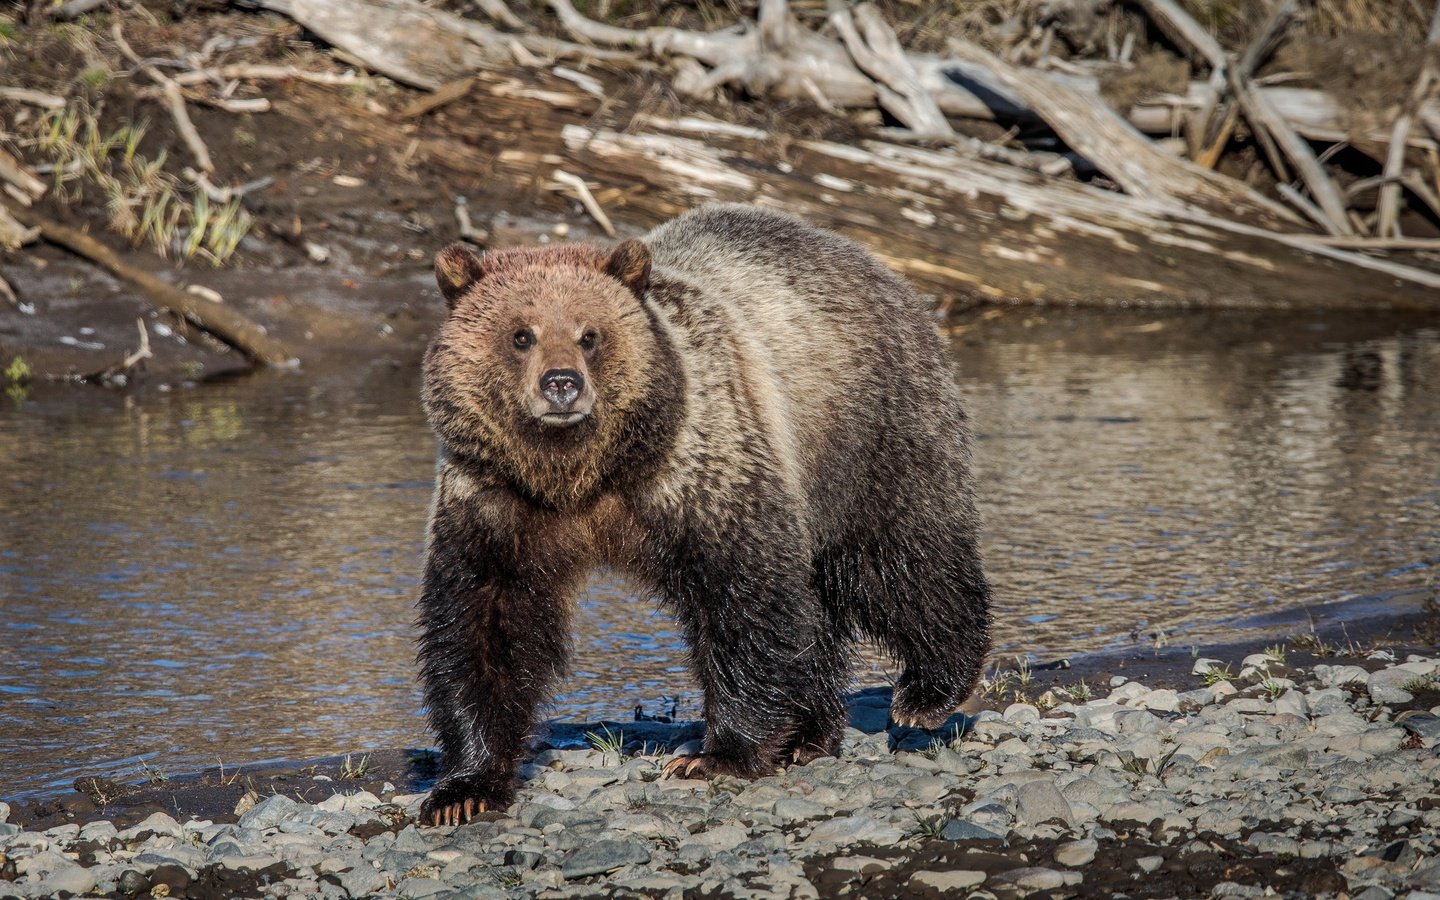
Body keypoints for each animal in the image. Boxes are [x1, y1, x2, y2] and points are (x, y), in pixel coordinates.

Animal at [417, 207, 990, 823]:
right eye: (521, 335)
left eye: (589, 335)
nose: (562, 384)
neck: (580, 474)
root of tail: (873, 263)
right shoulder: (497, 504)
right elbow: (483, 625)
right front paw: (464, 788)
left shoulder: (699, 465)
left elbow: (745, 596)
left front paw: (715, 755)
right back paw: (810, 735)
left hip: (866, 433)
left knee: (900, 557)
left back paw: (928, 691)